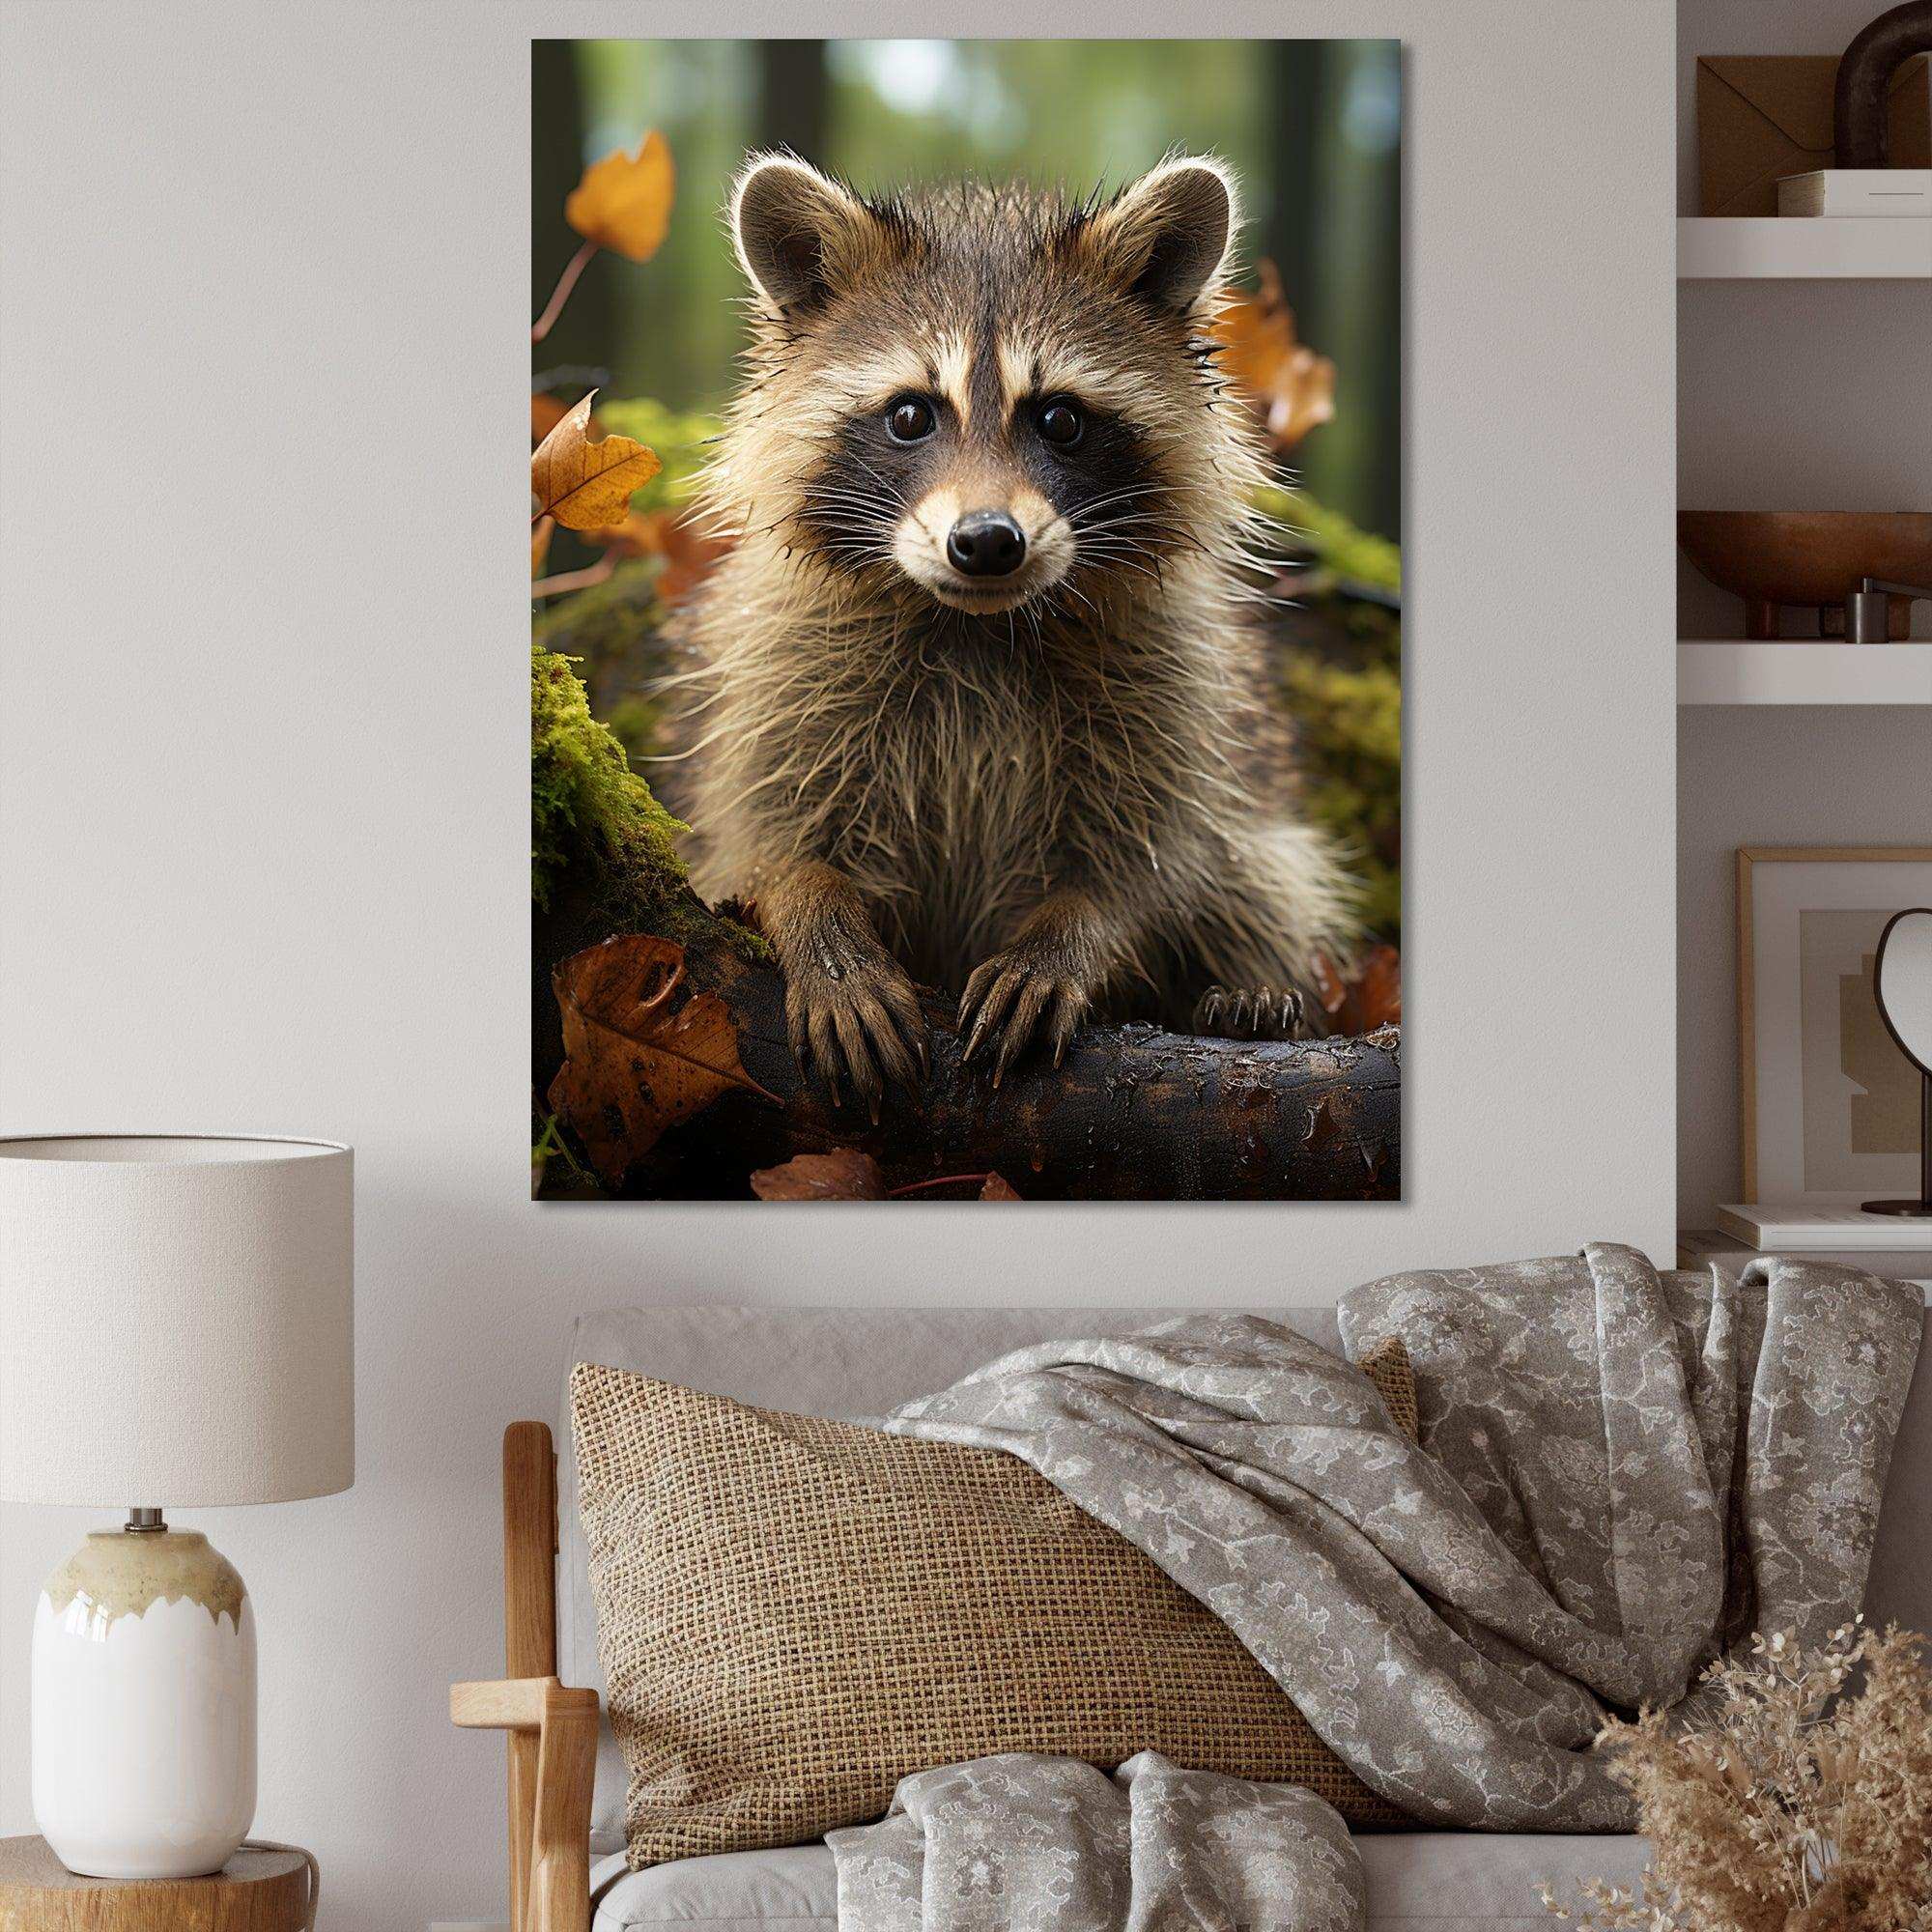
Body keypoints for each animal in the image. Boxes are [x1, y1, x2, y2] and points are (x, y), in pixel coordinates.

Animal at [662, 151, 1359, 1114]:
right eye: (911, 414)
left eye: (1059, 418)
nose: (987, 542)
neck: (976, 626)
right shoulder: (777, 669)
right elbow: (757, 835)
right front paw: (816, 916)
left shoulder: (1179, 685)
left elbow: (1156, 860)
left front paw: (1071, 935)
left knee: (1264, 880)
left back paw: (1249, 995)